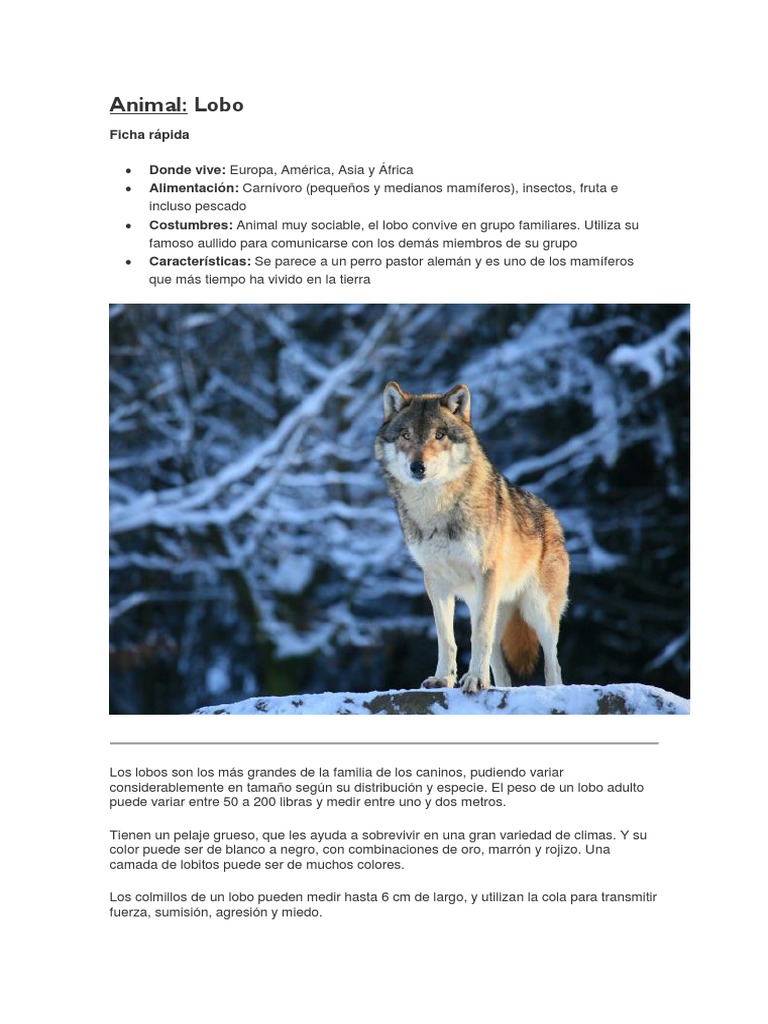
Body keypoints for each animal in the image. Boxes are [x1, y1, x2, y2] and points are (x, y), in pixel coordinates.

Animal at [375, 381, 569, 693]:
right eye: (406, 435)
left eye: (440, 435)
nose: (418, 467)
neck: (436, 509)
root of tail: (551, 515)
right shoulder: (435, 581)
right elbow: (446, 638)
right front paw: (444, 679)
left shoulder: (486, 574)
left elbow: (477, 636)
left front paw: (474, 679)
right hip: (492, 609)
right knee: (501, 670)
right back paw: (495, 687)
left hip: (538, 611)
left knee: (553, 663)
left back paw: (551, 691)